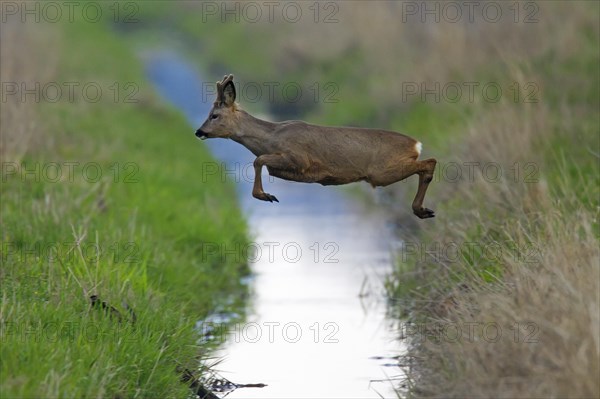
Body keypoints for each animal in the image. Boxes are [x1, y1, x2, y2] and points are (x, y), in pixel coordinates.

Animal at [197, 75, 436, 219]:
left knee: (429, 162)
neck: (270, 138)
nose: (199, 131)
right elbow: (261, 162)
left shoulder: (299, 159)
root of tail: (416, 144)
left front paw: (267, 195)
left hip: (381, 172)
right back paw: (423, 210)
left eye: (214, 115)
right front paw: (267, 194)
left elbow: (258, 160)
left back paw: (421, 210)